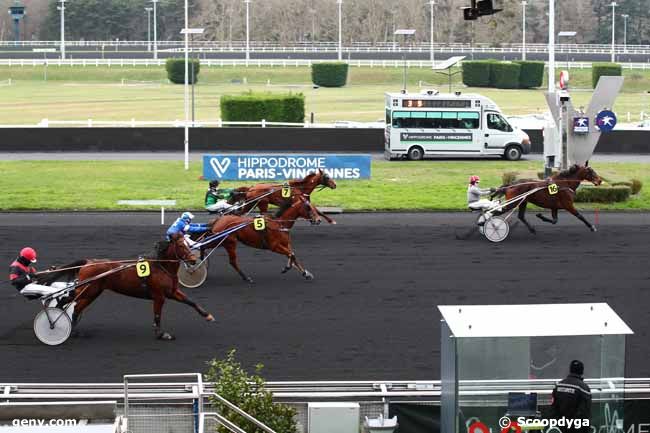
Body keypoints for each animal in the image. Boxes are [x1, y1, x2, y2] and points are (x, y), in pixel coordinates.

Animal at [36, 231, 214, 340]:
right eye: (181, 246)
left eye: (188, 244)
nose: (193, 260)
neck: (161, 266)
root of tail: (88, 262)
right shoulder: (159, 296)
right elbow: (157, 315)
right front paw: (161, 334)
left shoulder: (172, 292)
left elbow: (191, 301)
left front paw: (208, 315)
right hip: (88, 291)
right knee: (68, 301)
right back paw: (56, 320)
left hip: (92, 292)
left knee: (75, 307)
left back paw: (71, 327)